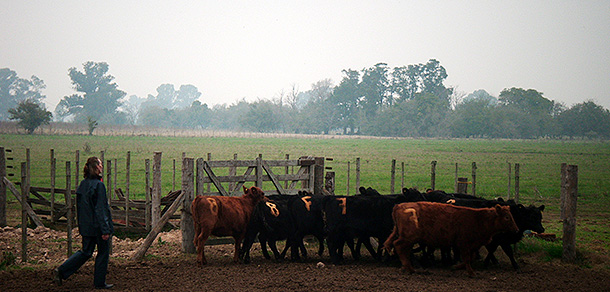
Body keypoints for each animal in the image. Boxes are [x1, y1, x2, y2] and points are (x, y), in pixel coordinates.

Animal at [382, 202, 516, 278]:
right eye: (507, 217)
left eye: (511, 216)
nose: (516, 229)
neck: (479, 219)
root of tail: (398, 206)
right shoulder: (464, 243)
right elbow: (467, 258)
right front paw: (471, 273)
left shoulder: (473, 245)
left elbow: (471, 258)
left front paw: (456, 267)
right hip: (408, 237)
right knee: (398, 245)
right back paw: (409, 268)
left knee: (398, 247)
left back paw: (406, 267)